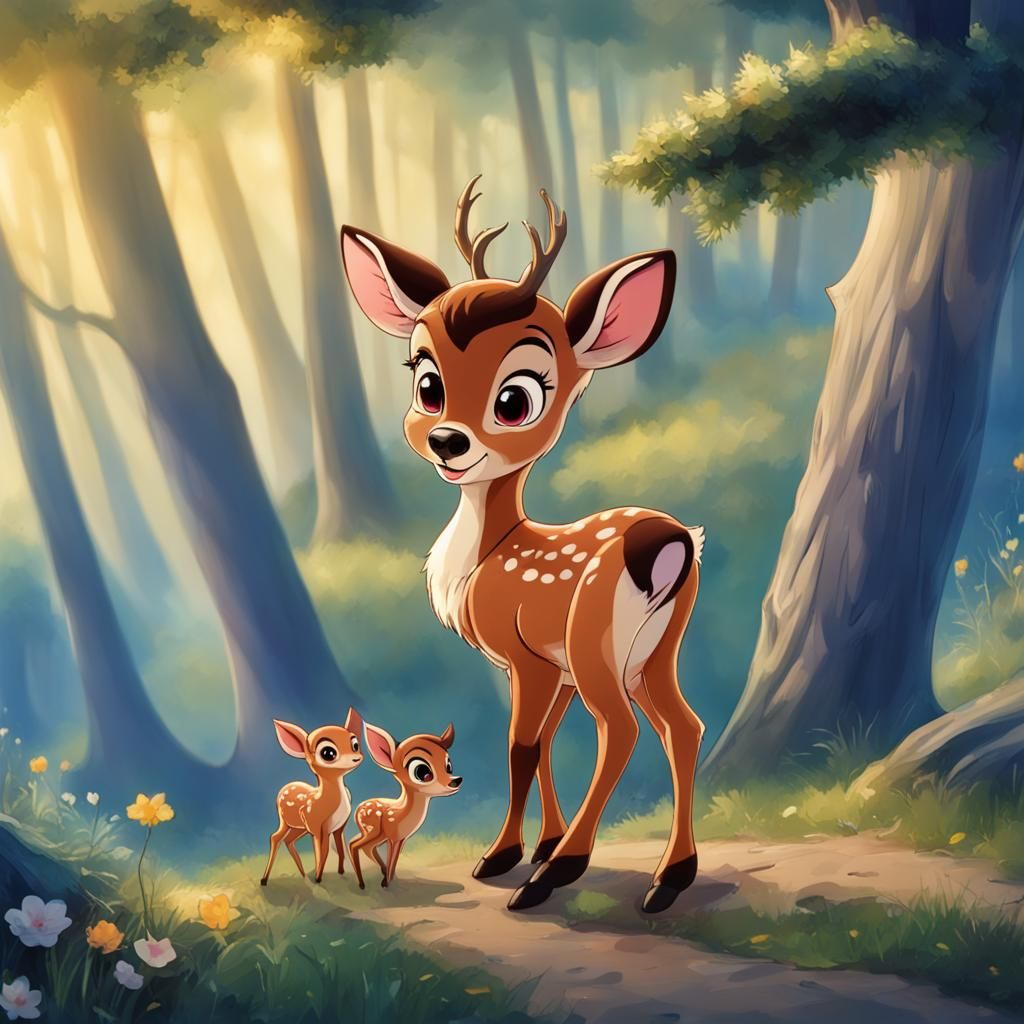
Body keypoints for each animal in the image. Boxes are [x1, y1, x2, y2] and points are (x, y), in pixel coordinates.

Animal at [260, 708, 364, 886]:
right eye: (328, 753)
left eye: (355, 745)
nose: (356, 757)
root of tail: (283, 789)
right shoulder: (316, 825)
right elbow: (322, 851)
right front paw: (318, 878)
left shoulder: (338, 827)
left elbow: (339, 849)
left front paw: (340, 872)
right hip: (286, 821)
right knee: (275, 837)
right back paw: (265, 879)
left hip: (299, 827)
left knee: (288, 840)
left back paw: (302, 874)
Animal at [350, 723, 461, 888]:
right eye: (423, 772)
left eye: (449, 766)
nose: (456, 780)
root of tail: (357, 810)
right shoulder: (393, 836)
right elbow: (391, 858)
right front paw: (387, 883)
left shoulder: (402, 839)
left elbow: (394, 859)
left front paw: (390, 879)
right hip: (372, 830)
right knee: (355, 845)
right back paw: (363, 884)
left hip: (372, 833)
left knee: (362, 846)